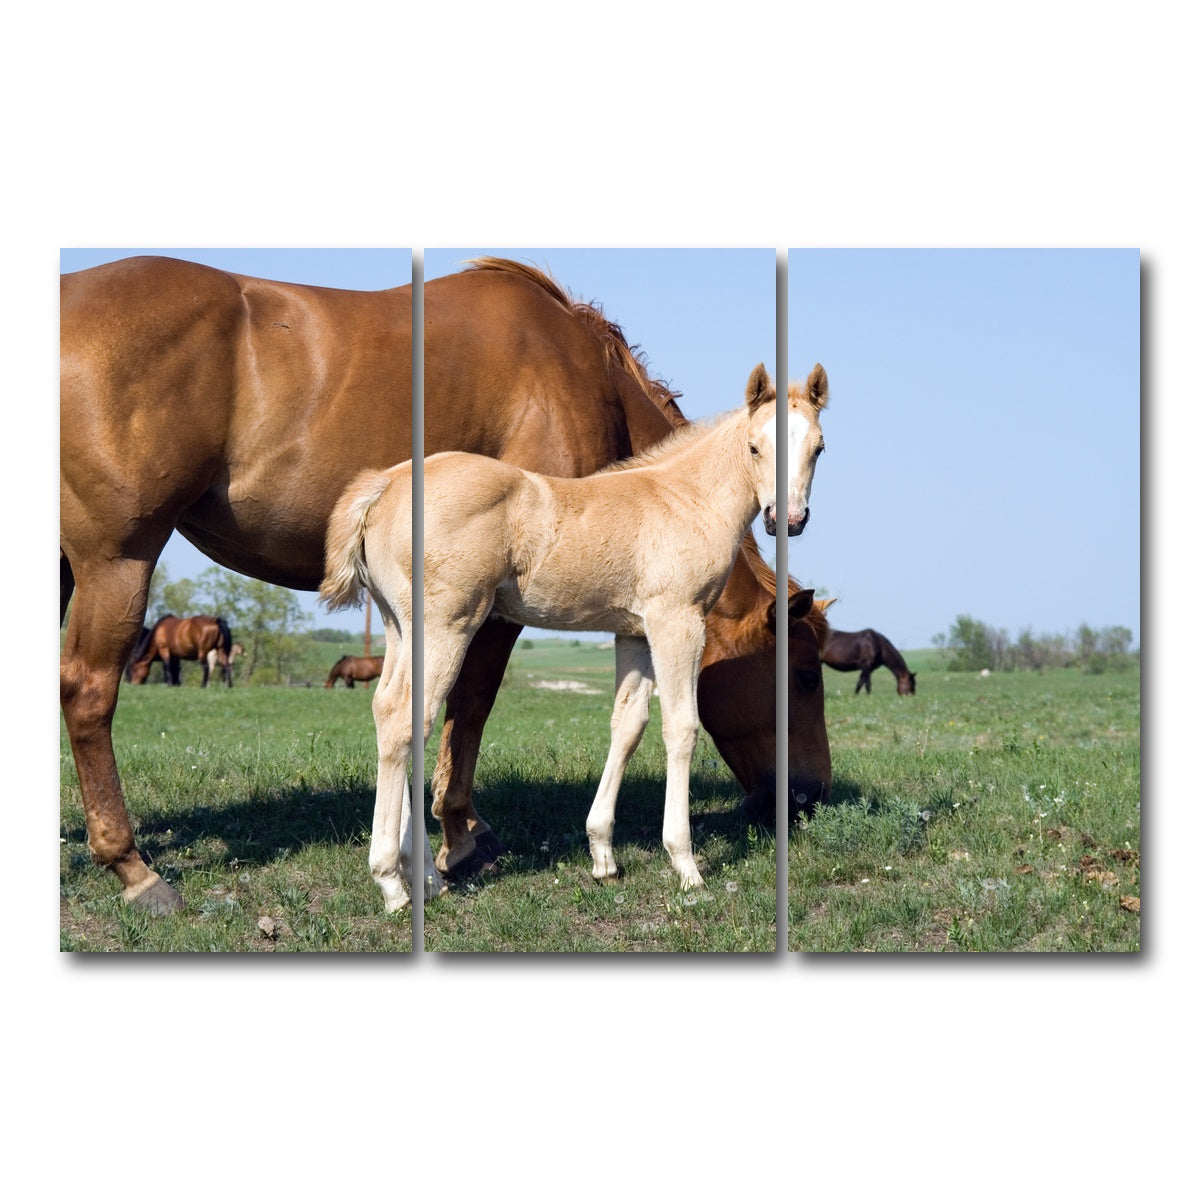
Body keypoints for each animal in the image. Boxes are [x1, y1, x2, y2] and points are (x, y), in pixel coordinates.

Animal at [320, 363, 824, 908]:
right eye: (754, 447)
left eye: (819, 447)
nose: (787, 519)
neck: (685, 501)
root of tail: (385, 484)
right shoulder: (677, 621)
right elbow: (682, 727)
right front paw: (686, 866)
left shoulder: (634, 633)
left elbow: (628, 725)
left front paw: (603, 856)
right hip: (446, 625)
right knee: (404, 718)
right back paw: (393, 884)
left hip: (400, 626)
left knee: (389, 710)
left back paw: (427, 880)